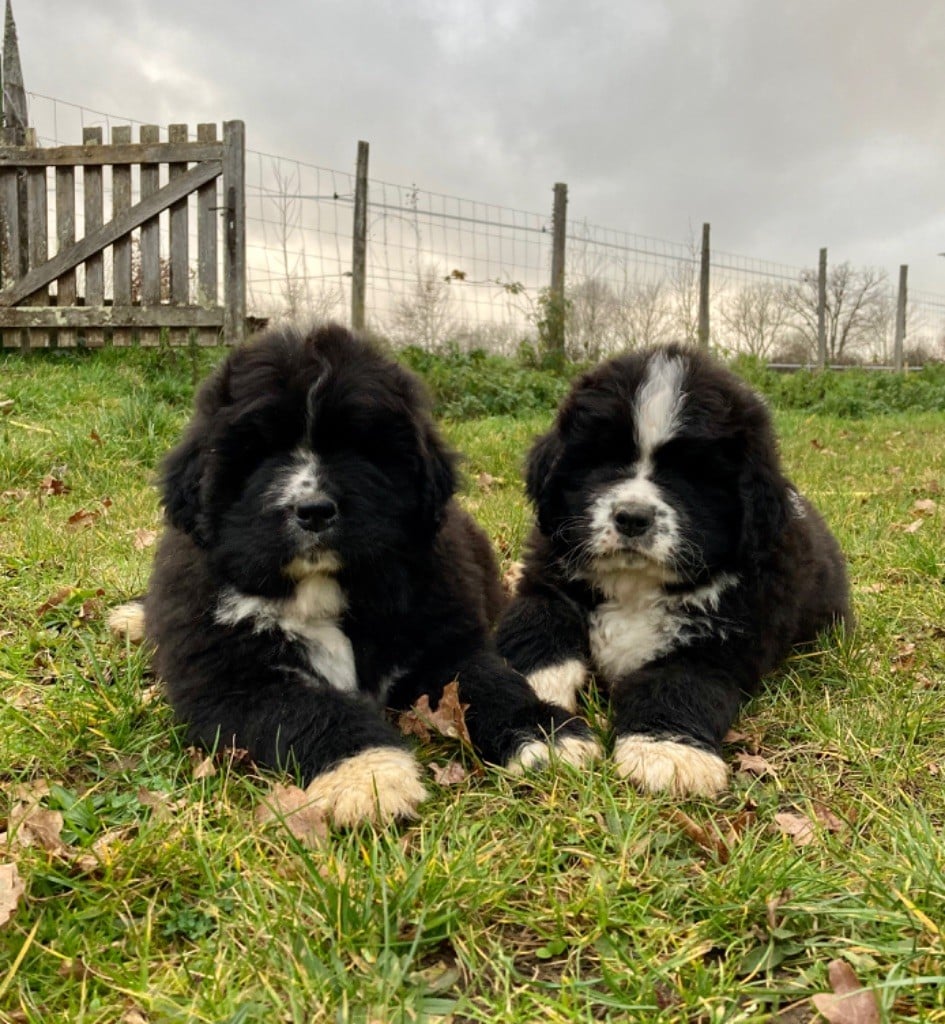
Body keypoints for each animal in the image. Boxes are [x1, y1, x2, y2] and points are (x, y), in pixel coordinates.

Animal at [131, 323, 597, 827]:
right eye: (259, 453)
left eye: (359, 449)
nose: (313, 511)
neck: (322, 591)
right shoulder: (233, 681)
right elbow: (310, 709)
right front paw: (371, 774)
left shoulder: (441, 647)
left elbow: (489, 683)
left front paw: (546, 733)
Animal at [495, 344, 851, 798]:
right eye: (603, 461)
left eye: (690, 476)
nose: (632, 517)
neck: (636, 586)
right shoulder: (547, 580)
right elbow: (535, 625)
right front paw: (540, 700)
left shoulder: (722, 641)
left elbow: (676, 684)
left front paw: (666, 752)